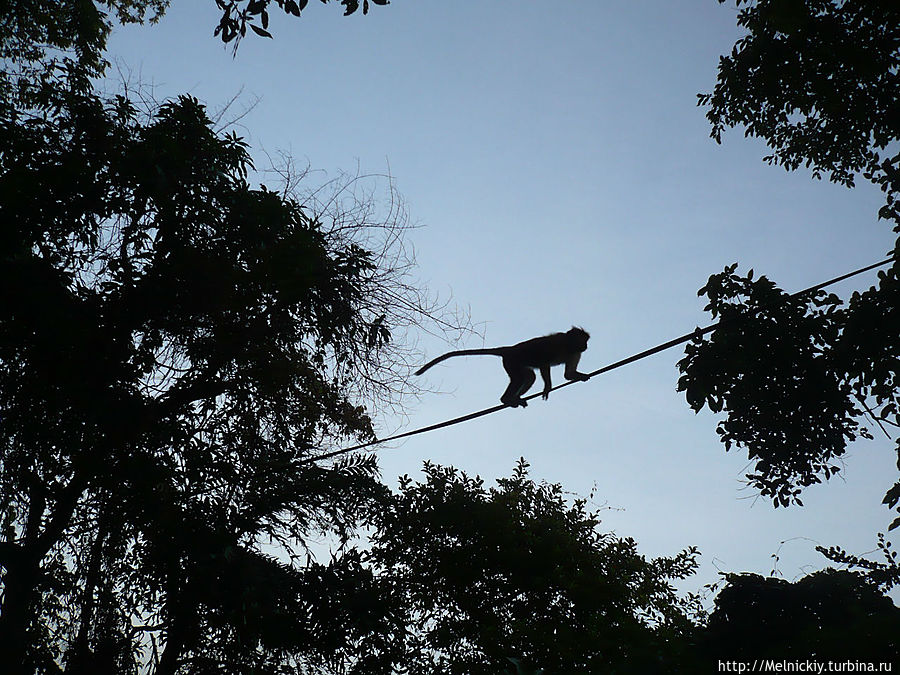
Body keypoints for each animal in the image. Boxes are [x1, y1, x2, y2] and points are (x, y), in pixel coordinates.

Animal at [414, 326, 592, 406]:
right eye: (583, 340)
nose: (586, 346)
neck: (568, 345)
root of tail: (510, 349)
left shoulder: (576, 353)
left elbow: (568, 375)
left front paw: (580, 376)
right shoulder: (556, 344)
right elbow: (543, 362)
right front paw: (547, 387)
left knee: (528, 377)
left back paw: (515, 398)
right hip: (511, 361)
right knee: (519, 378)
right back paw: (505, 399)